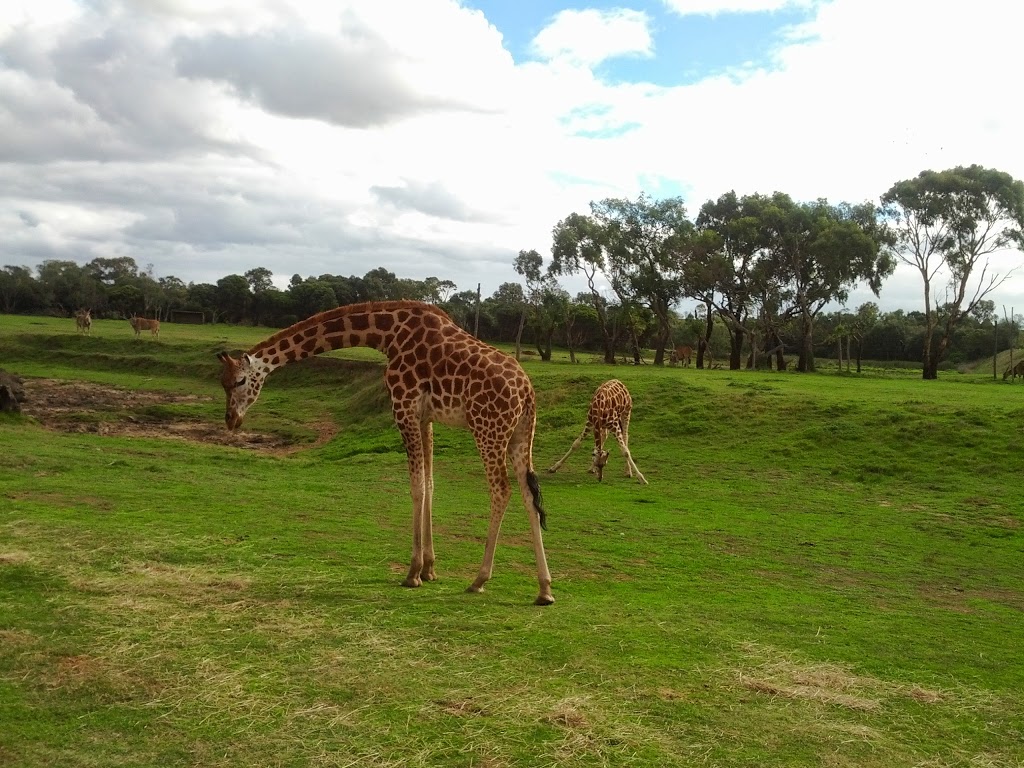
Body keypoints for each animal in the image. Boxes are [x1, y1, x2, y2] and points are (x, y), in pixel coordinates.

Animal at [211, 301, 557, 606]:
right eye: (222, 383)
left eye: (240, 381)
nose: (231, 420)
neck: (387, 335)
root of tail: (528, 393)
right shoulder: (425, 417)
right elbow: (430, 485)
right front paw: (430, 569)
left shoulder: (403, 408)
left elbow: (417, 488)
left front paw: (413, 573)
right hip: (521, 436)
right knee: (529, 495)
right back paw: (544, 589)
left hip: (488, 429)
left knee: (501, 490)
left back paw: (480, 579)